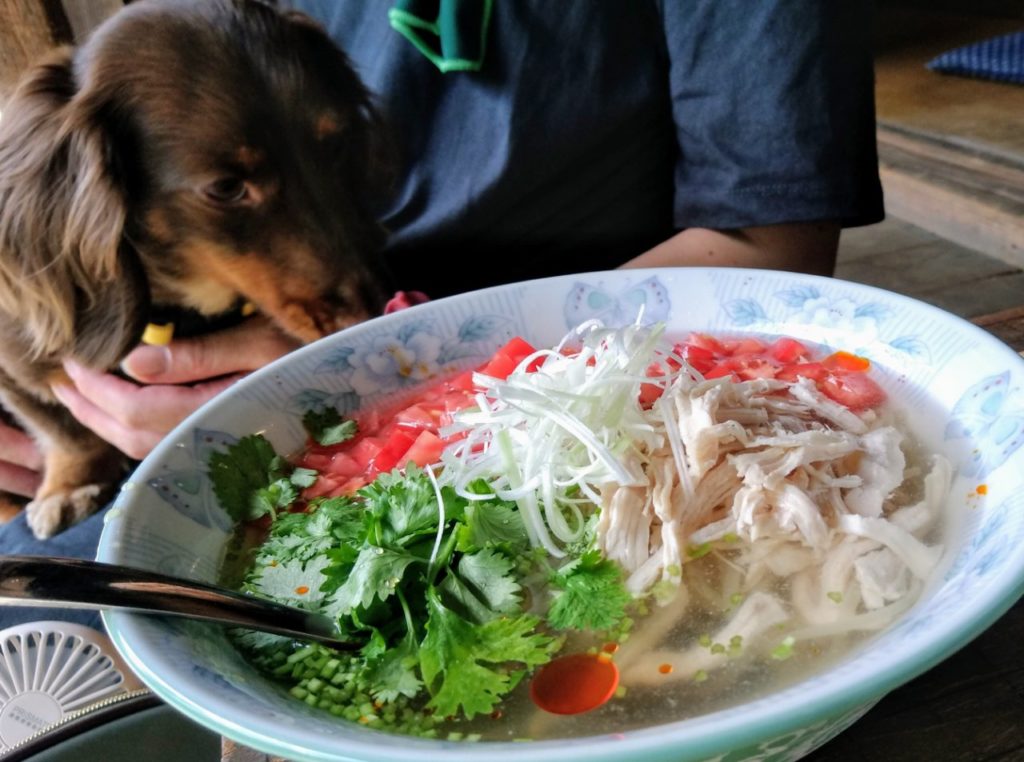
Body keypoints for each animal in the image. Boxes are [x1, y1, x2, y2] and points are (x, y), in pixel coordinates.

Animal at [0, 0, 392, 539]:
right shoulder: (18, 365)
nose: (373, 312)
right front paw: (69, 485)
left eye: (335, 144)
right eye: (226, 188)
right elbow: (62, 428)